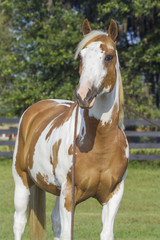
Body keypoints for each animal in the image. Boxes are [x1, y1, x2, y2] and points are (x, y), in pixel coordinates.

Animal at [12, 19, 129, 240]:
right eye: (81, 56)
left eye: (109, 56)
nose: (84, 95)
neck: (100, 143)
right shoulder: (69, 195)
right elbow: (67, 232)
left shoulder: (114, 195)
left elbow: (106, 233)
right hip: (22, 182)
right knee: (19, 223)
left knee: (55, 222)